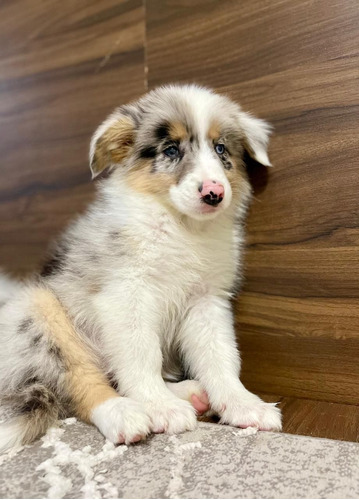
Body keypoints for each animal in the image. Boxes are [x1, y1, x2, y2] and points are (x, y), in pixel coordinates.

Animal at [0, 84, 282, 452]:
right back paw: (127, 414)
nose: (214, 193)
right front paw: (160, 407)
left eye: (220, 148)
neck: (180, 226)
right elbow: (141, 354)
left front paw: (244, 405)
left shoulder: (206, 299)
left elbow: (220, 356)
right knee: (80, 383)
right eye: (171, 149)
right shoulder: (126, 293)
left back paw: (188, 393)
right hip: (40, 314)